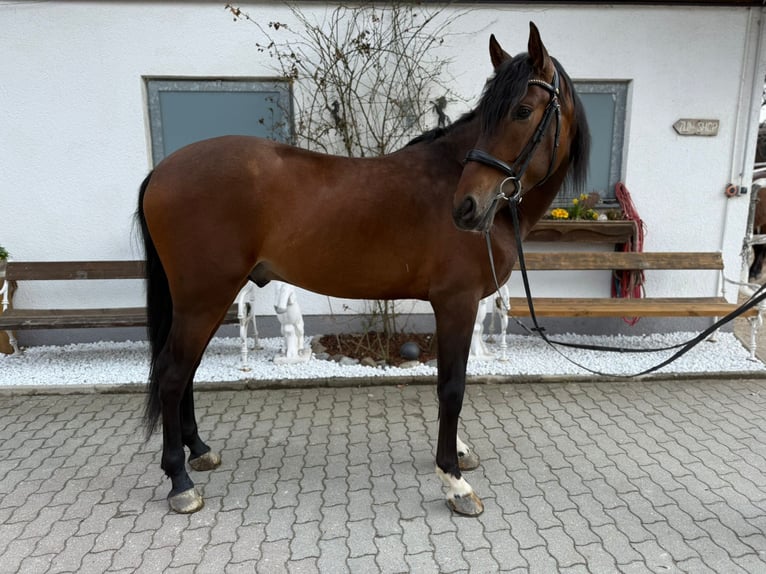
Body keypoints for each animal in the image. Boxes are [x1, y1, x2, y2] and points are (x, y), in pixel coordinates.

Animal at [136, 22, 589, 516]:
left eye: (522, 111)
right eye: (491, 115)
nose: (467, 208)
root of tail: (162, 171)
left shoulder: (458, 307)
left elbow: (453, 379)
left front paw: (458, 453)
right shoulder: (456, 303)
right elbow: (451, 387)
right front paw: (453, 480)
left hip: (205, 300)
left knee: (187, 370)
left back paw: (199, 451)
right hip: (204, 298)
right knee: (173, 373)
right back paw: (180, 482)